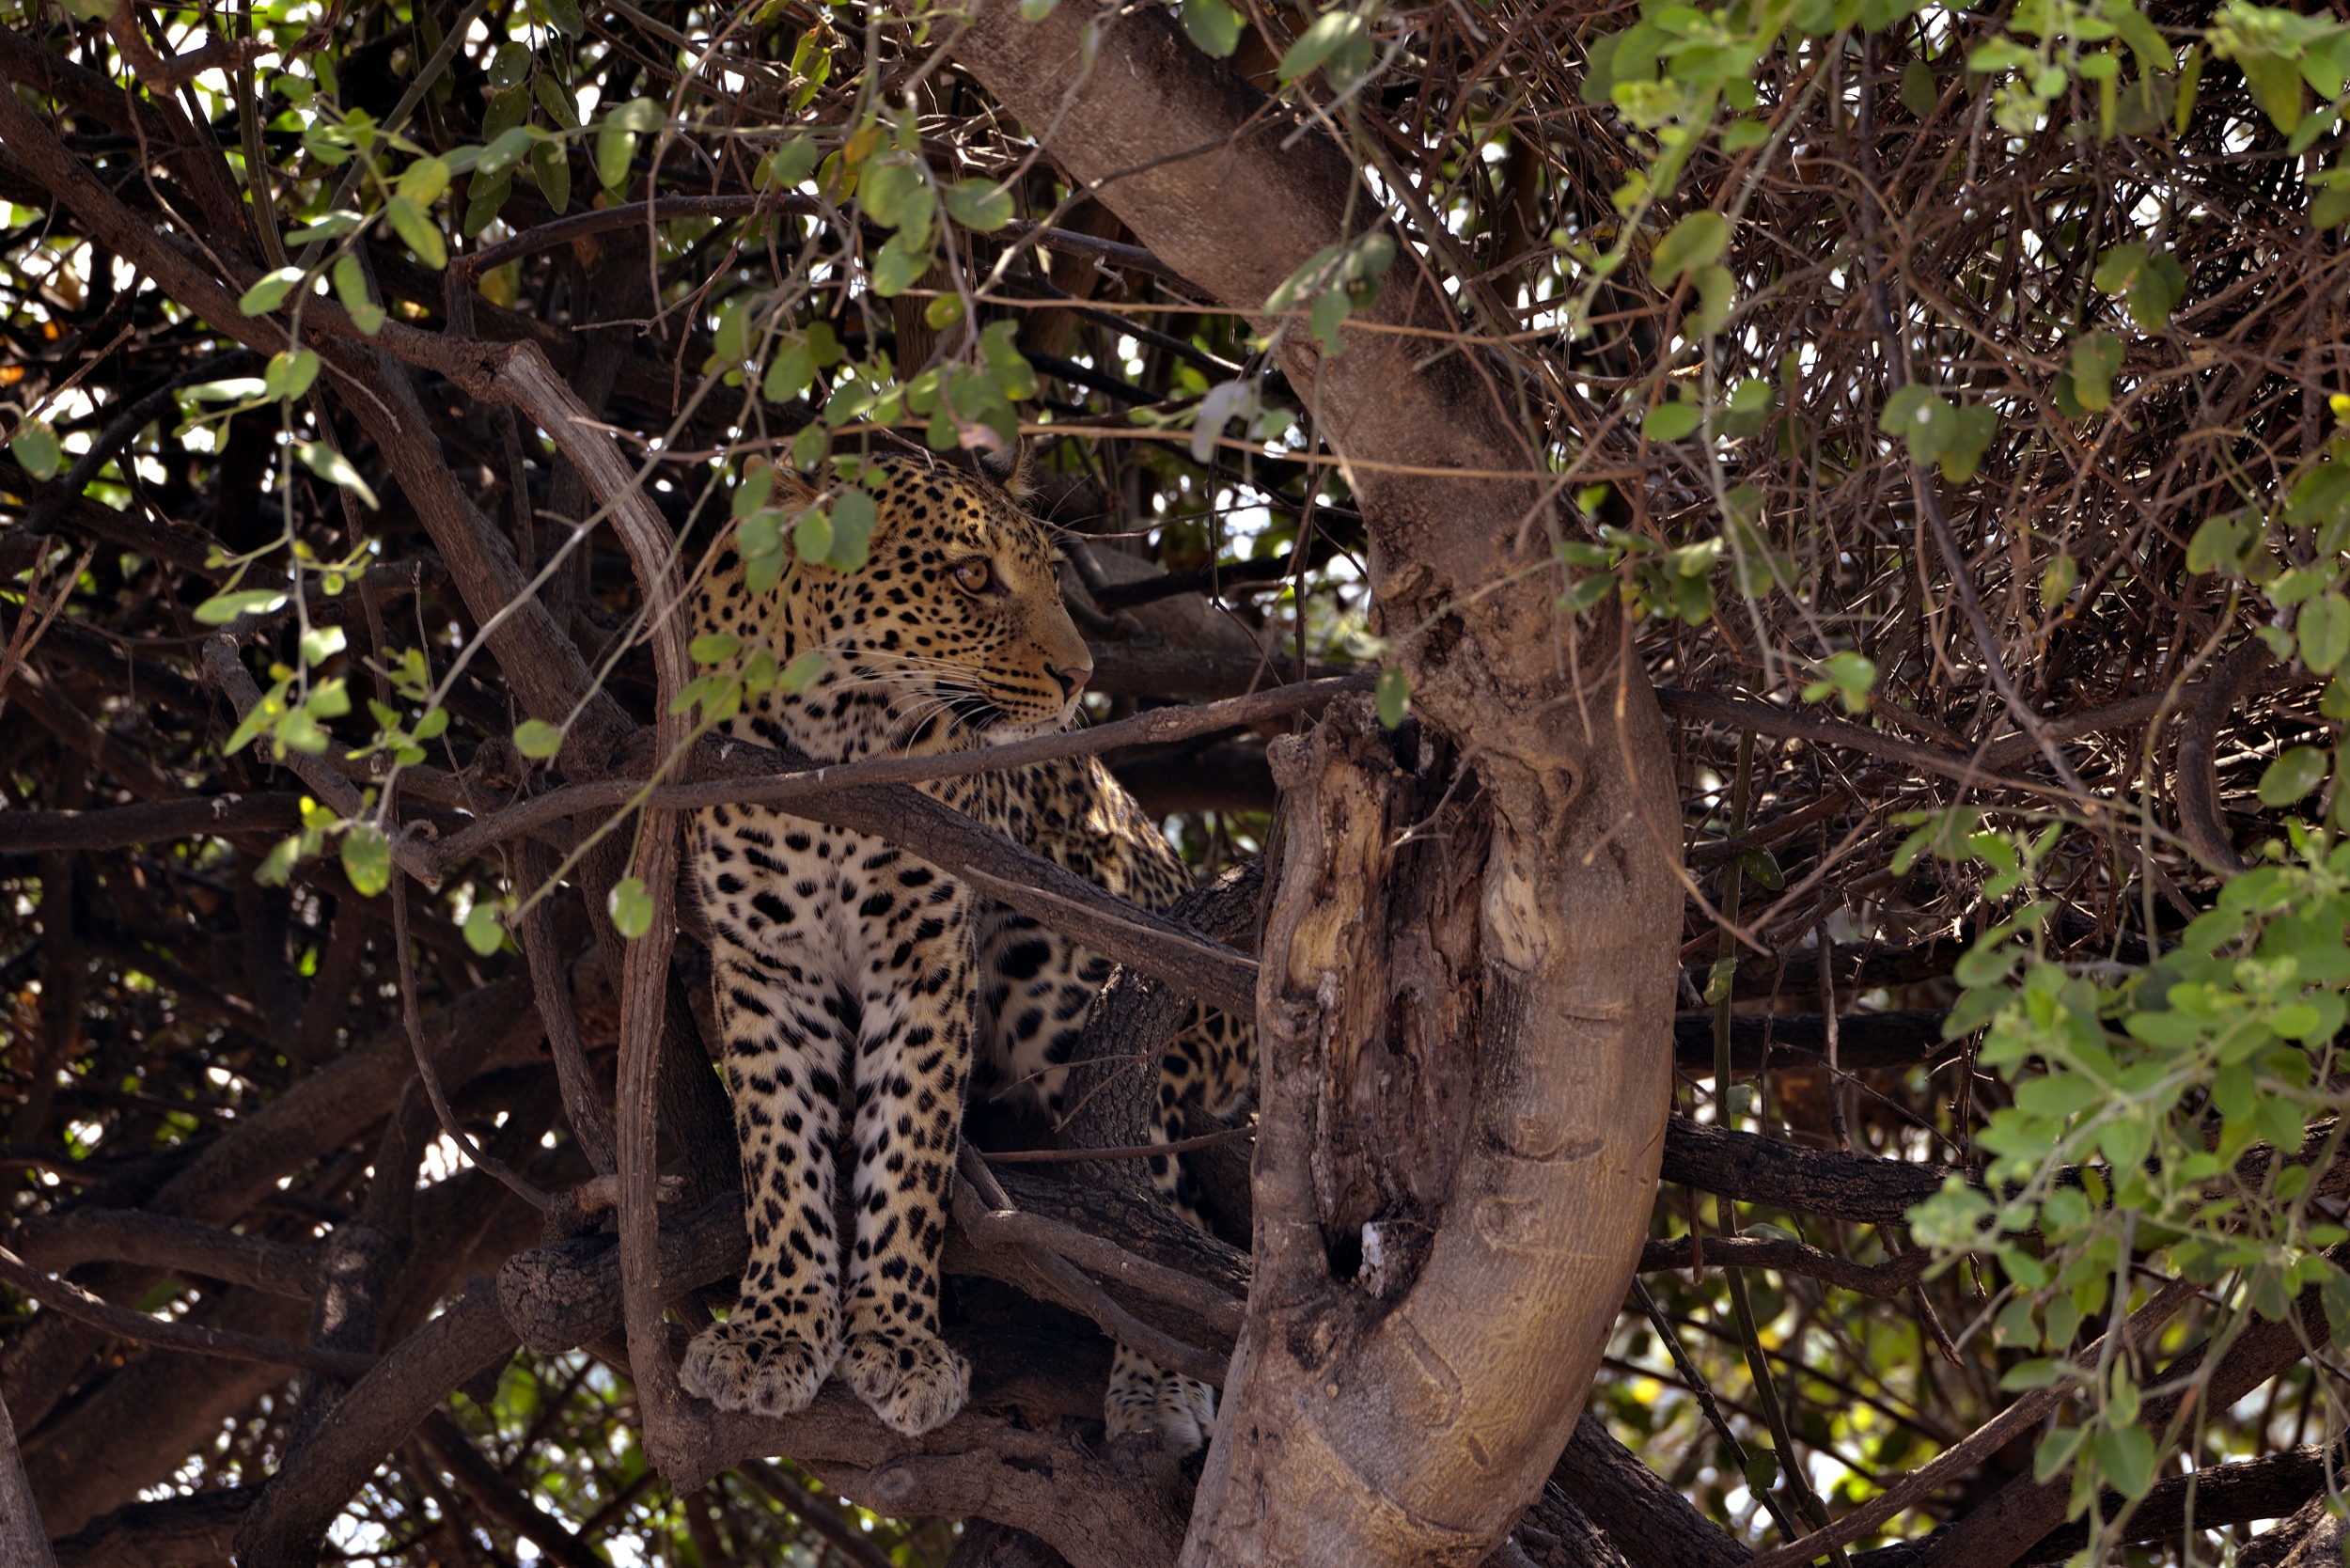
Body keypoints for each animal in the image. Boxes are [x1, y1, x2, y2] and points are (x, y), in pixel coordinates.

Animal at [677, 450, 1250, 1447]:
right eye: (972, 576)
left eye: (1053, 578)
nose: (1079, 676)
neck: (836, 736)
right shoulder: (766, 963)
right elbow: (779, 1151)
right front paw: (774, 1330)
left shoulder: (927, 957)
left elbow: (911, 1147)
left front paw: (899, 1343)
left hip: (1065, 984)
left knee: (1154, 1205)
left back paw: (1158, 1388)